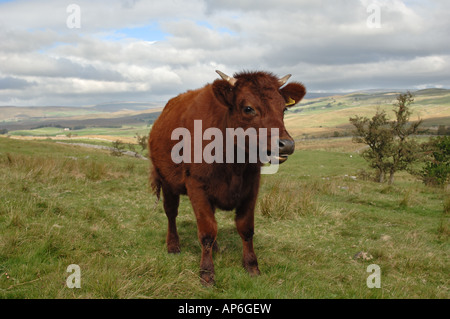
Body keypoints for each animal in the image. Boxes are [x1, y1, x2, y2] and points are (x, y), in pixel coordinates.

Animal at [149, 70, 306, 284]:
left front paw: (251, 266)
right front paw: (207, 273)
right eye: (248, 108)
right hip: (166, 180)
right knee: (171, 212)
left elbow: (246, 228)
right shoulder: (196, 185)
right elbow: (206, 231)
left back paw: (215, 248)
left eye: (284, 109)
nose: (286, 144)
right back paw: (173, 246)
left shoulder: (251, 186)